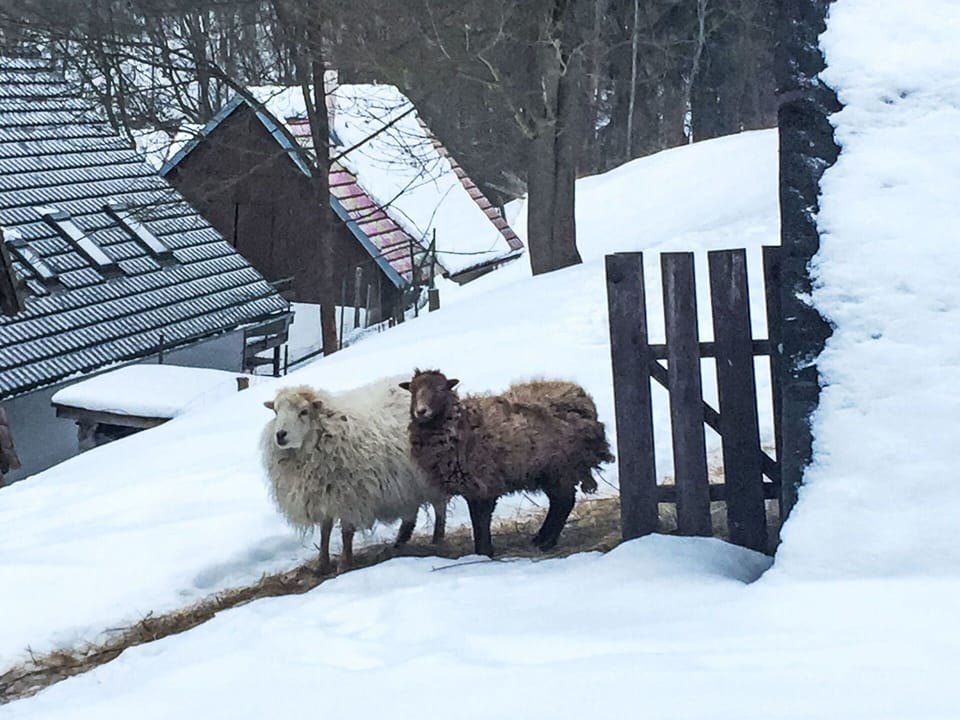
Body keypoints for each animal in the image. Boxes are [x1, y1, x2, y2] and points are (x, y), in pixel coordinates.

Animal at [260, 376, 448, 572]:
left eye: (303, 411)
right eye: (276, 412)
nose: (280, 435)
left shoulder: (351, 494)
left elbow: (346, 532)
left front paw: (344, 564)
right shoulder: (324, 494)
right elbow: (325, 531)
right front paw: (322, 564)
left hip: (431, 475)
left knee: (439, 507)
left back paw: (437, 539)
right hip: (407, 483)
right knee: (411, 512)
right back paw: (399, 543)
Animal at [400, 369, 614, 557]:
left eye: (440, 389)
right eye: (412, 390)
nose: (421, 411)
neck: (459, 426)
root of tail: (582, 398)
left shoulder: (484, 483)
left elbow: (481, 520)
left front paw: (484, 552)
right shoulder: (472, 487)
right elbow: (477, 520)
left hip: (560, 467)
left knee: (564, 502)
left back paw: (546, 542)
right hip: (548, 471)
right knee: (560, 502)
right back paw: (541, 539)